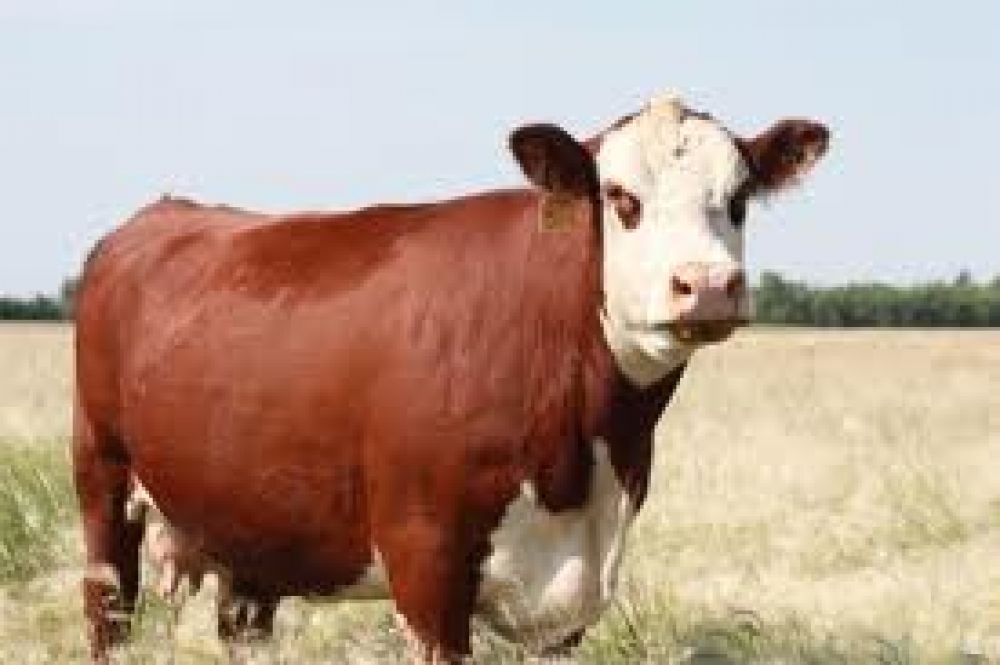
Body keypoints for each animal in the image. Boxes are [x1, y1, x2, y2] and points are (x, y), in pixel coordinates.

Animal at [73, 93, 829, 662]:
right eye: (621, 197)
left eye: (739, 198)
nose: (708, 286)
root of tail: (160, 211)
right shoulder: (426, 566)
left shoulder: (570, 597)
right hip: (102, 482)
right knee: (108, 611)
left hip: (249, 522)